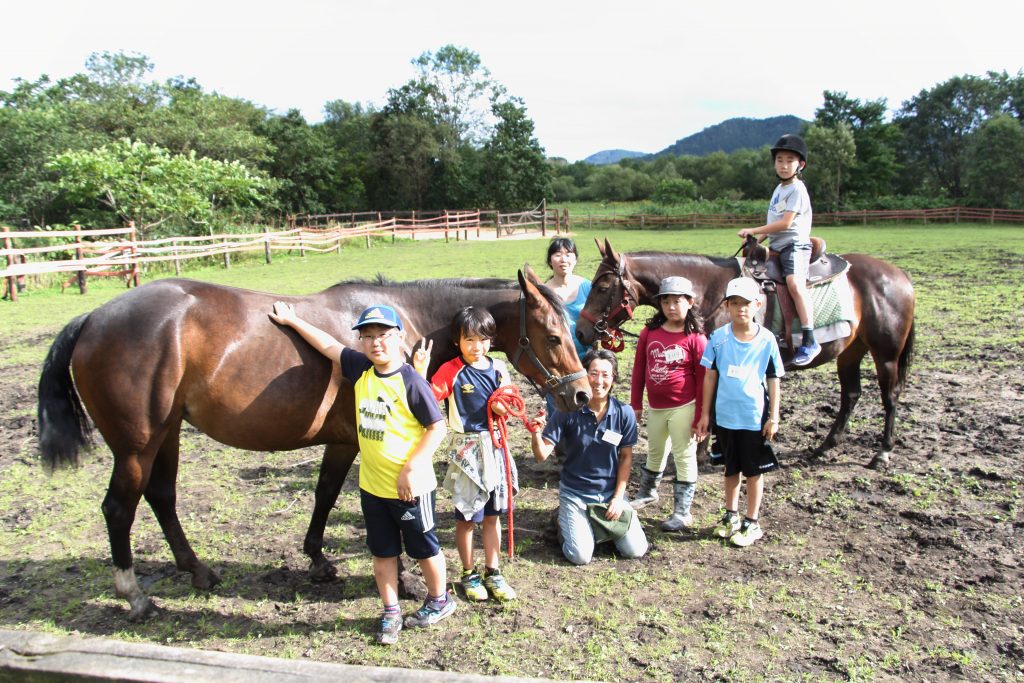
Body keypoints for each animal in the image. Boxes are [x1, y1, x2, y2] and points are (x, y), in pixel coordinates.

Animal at [36, 266, 589, 618]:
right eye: (553, 336)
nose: (582, 394)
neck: (398, 322)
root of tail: (93, 318)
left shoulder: (341, 443)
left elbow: (324, 495)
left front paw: (319, 561)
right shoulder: (362, 443)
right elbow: (377, 504)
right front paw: (404, 578)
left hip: (166, 435)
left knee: (162, 497)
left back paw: (197, 571)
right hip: (137, 446)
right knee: (119, 509)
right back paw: (134, 596)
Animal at [577, 237, 921, 466]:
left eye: (603, 286)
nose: (581, 331)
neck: (711, 291)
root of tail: (900, 276)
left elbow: (711, 408)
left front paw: (704, 453)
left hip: (886, 354)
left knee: (890, 397)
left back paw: (882, 452)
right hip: (851, 351)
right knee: (851, 395)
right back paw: (825, 446)